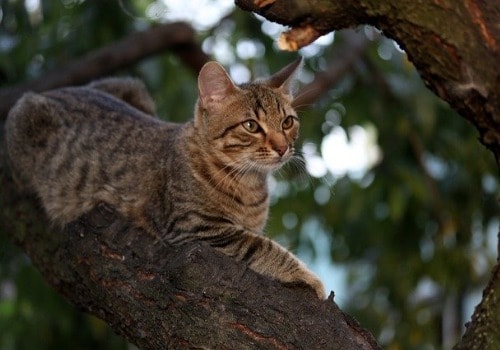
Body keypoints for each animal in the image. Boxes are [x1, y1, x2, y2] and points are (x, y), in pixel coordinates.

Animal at [5, 58, 326, 300]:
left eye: (287, 122)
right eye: (251, 126)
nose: (283, 148)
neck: (248, 184)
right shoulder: (198, 228)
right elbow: (263, 246)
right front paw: (309, 278)